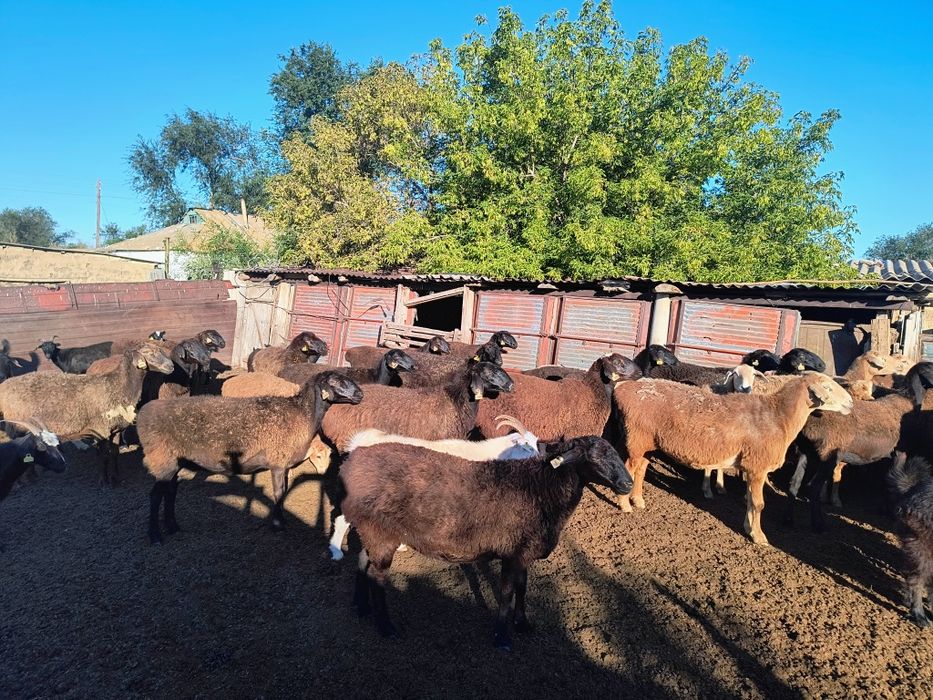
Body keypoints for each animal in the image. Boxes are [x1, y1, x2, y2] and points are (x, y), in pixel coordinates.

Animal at [0, 344, 175, 484]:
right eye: (148, 353)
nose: (171, 366)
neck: (117, 386)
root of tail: (5, 386)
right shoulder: (101, 431)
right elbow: (104, 456)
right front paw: (103, 480)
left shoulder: (115, 430)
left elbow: (114, 454)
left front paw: (115, 477)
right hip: (18, 426)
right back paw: (27, 479)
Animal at [137, 371, 363, 545]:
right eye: (335, 382)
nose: (360, 394)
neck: (302, 414)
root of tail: (142, 415)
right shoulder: (278, 461)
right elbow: (279, 493)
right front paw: (278, 524)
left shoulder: (283, 464)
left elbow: (284, 491)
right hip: (162, 460)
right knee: (155, 496)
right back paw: (155, 535)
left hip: (174, 462)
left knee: (170, 492)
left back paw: (173, 526)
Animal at [339, 435, 632, 648]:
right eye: (595, 456)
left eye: (616, 453)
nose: (628, 484)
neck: (541, 487)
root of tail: (352, 460)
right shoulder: (512, 554)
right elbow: (506, 594)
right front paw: (502, 637)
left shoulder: (523, 552)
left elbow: (522, 589)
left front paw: (522, 624)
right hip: (381, 533)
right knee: (377, 578)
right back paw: (385, 627)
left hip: (370, 531)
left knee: (362, 561)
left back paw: (361, 606)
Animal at [612, 372, 853, 545]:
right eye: (828, 388)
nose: (851, 403)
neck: (779, 417)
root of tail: (623, 387)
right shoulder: (757, 467)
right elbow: (759, 504)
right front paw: (759, 537)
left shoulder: (751, 468)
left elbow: (750, 501)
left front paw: (748, 528)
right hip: (637, 437)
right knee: (629, 468)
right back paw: (624, 504)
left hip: (648, 442)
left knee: (641, 468)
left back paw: (638, 500)